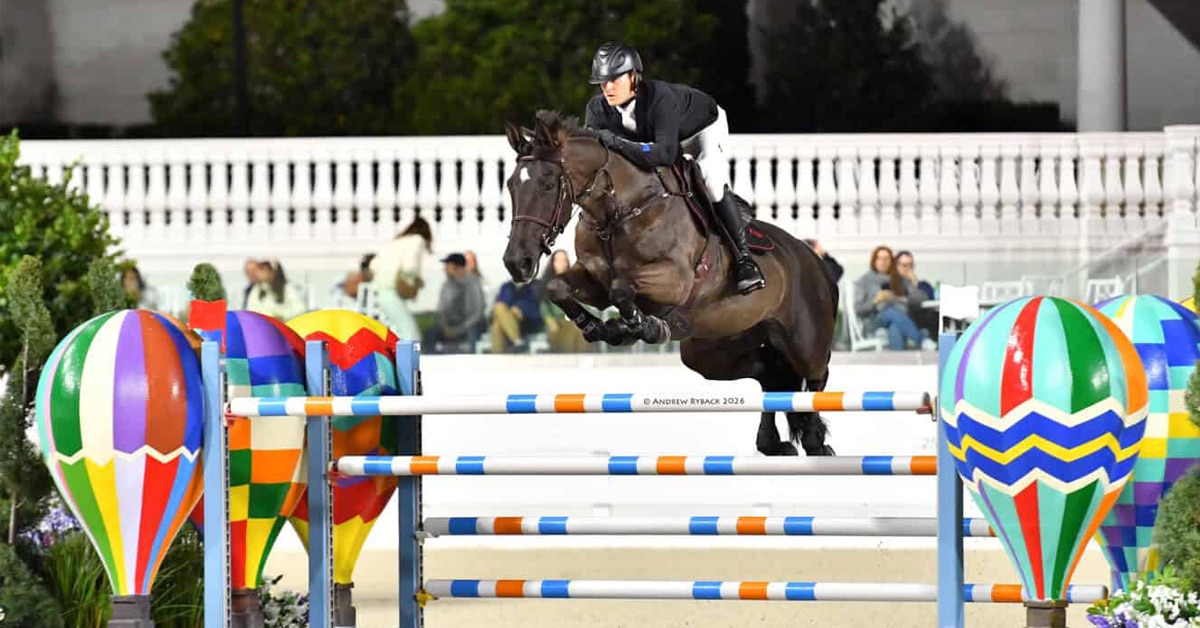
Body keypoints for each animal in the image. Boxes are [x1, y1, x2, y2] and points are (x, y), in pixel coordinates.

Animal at [500, 110, 840, 457]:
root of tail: (814, 259)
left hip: (806, 344)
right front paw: (601, 328)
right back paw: (772, 443)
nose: (517, 262)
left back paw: (814, 441)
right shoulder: (594, 280)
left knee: (814, 380)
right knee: (770, 373)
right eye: (511, 185)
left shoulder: (676, 280)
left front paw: (639, 327)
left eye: (548, 183)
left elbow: (622, 287)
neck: (618, 212)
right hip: (711, 350)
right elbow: (559, 288)